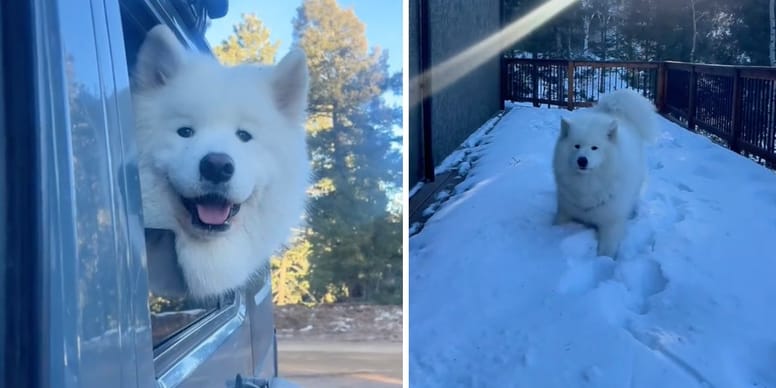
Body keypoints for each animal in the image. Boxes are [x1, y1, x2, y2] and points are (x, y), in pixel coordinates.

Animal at [556, 88, 656, 258]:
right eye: (576, 146)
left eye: (594, 148)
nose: (582, 161)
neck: (587, 185)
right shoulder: (565, 210)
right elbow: (557, 223)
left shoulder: (612, 221)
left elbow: (607, 250)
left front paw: (604, 261)